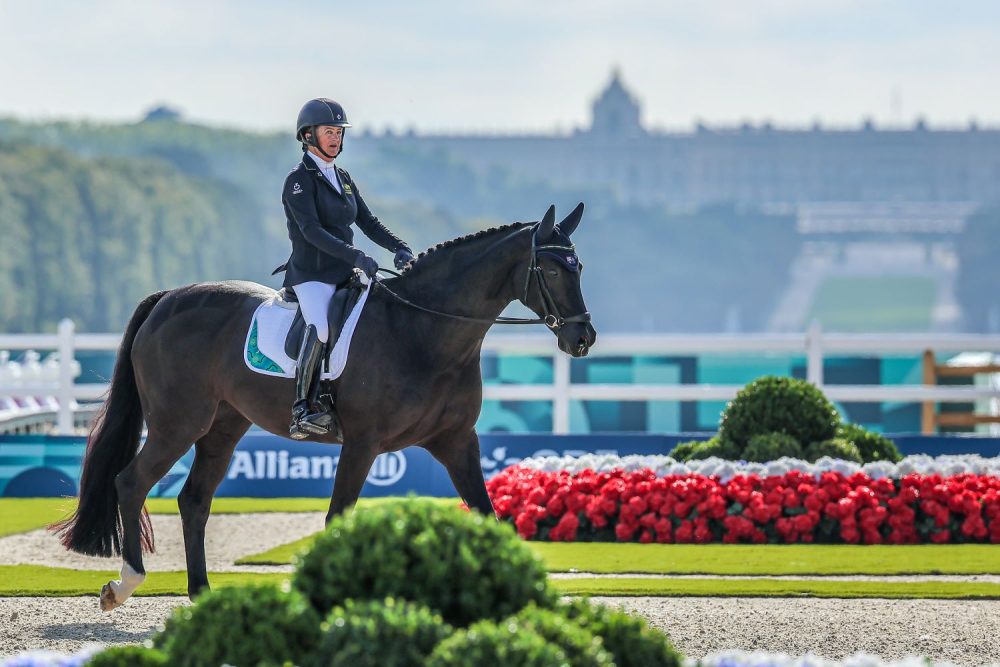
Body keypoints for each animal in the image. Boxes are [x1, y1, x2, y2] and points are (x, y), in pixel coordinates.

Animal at [53, 203, 596, 611]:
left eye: (579, 267)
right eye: (551, 268)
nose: (582, 338)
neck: (424, 332)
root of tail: (167, 300)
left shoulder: (456, 441)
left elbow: (487, 515)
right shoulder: (362, 444)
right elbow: (338, 517)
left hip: (223, 428)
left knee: (194, 500)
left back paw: (202, 595)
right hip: (176, 424)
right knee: (132, 482)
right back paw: (122, 585)